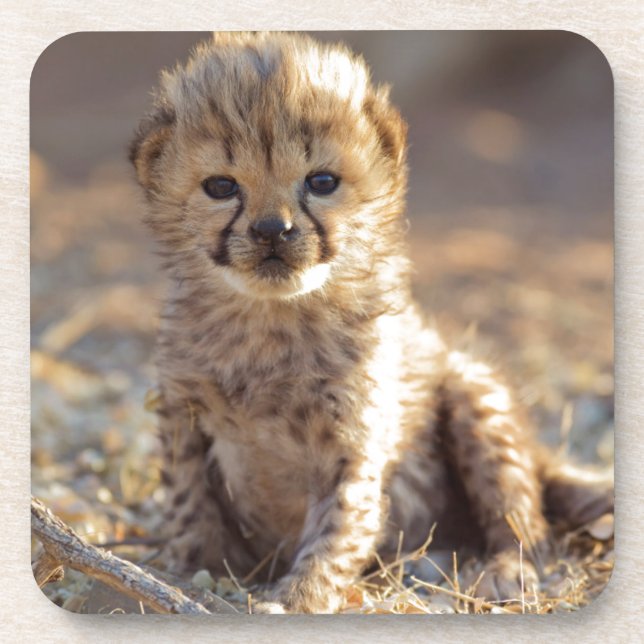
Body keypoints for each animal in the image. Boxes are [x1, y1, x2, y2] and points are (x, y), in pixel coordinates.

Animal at [129, 31, 613, 613]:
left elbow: (338, 529)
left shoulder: (353, 444)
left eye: (321, 181)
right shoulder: (182, 415)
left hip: (475, 394)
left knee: (523, 517)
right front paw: (190, 573)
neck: (272, 321)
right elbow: (189, 504)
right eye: (221, 187)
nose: (272, 230)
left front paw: (299, 597)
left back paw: (502, 571)